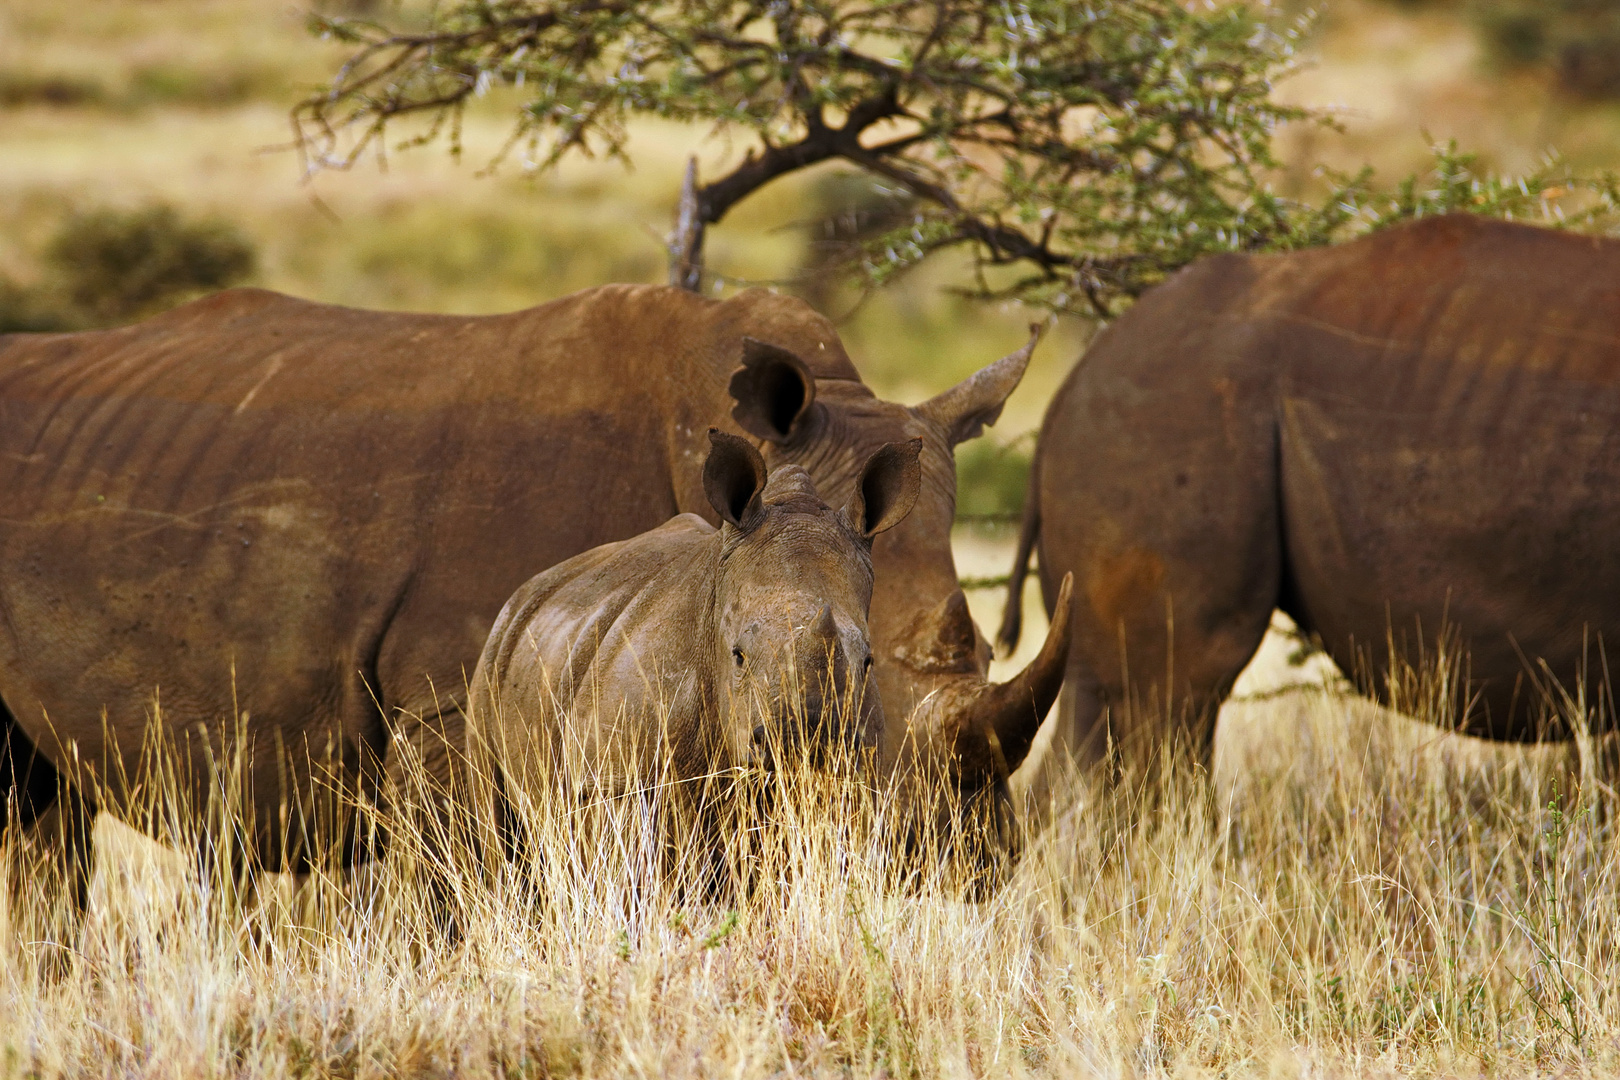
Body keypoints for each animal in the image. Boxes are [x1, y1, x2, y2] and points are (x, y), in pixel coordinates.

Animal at [469, 430, 926, 861]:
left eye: (867, 662)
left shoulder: (858, 780)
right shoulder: (609, 784)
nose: (804, 743)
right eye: (738, 656)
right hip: (499, 649)